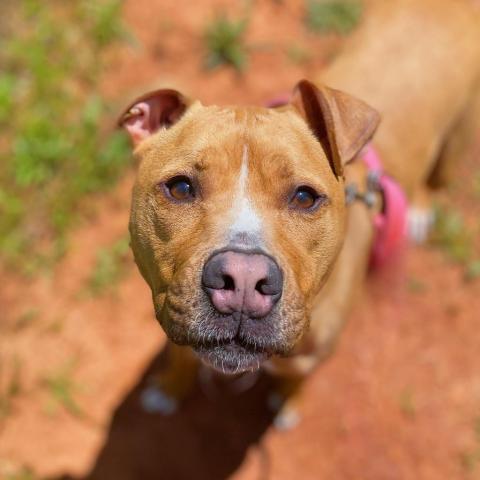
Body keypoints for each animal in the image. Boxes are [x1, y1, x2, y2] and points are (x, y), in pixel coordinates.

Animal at [117, 0, 480, 428]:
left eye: (305, 198)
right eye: (180, 188)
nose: (243, 280)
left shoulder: (313, 357)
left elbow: (296, 378)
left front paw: (288, 404)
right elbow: (182, 356)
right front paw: (170, 388)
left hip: (461, 132)